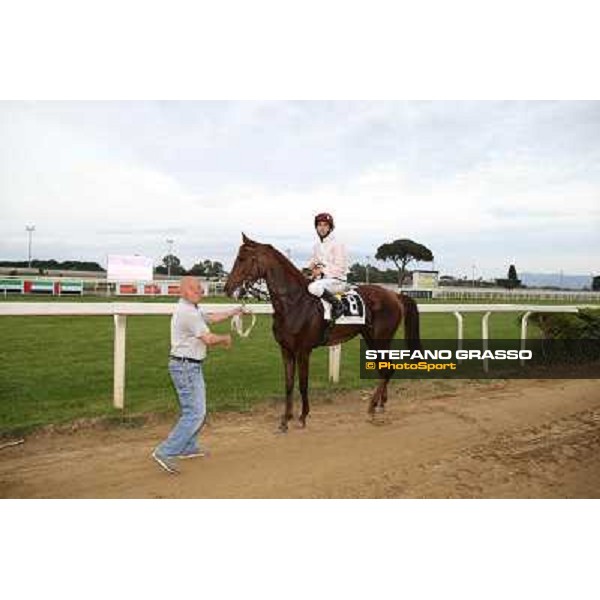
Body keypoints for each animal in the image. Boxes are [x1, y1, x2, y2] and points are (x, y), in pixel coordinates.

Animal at [225, 234, 422, 432]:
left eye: (242, 259)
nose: (227, 288)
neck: (294, 303)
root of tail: (394, 295)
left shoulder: (303, 351)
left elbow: (303, 384)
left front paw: (302, 416)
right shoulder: (286, 350)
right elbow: (288, 384)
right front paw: (285, 420)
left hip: (380, 339)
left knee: (387, 369)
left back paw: (372, 407)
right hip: (371, 338)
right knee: (385, 368)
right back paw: (381, 404)